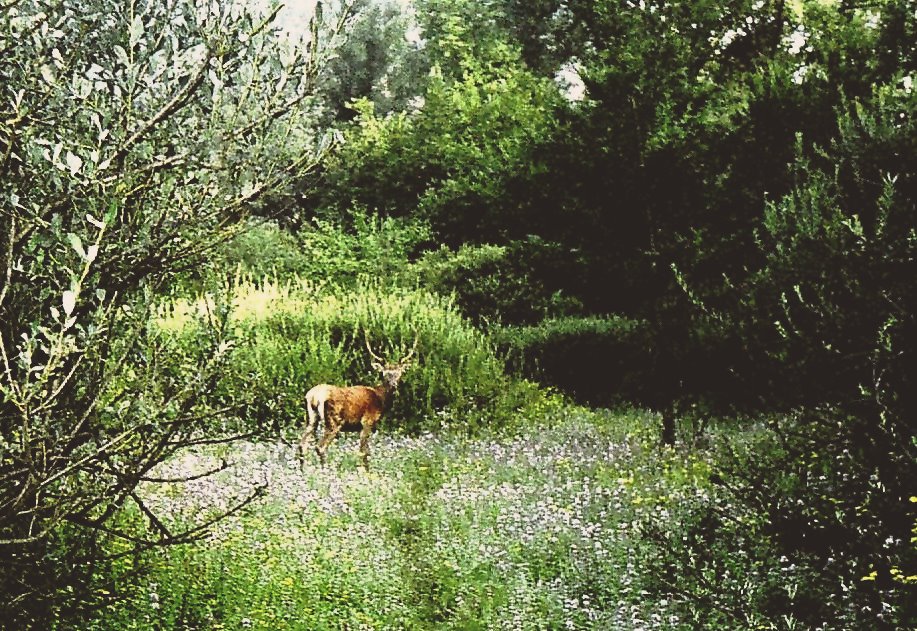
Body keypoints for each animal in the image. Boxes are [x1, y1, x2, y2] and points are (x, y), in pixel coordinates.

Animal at [298, 334, 416, 472]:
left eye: (399, 373)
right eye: (385, 374)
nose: (394, 384)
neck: (380, 400)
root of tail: (313, 396)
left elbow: (366, 451)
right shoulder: (367, 421)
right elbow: (363, 452)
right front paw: (366, 472)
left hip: (311, 418)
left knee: (302, 445)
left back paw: (303, 472)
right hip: (334, 420)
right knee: (320, 446)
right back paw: (325, 471)